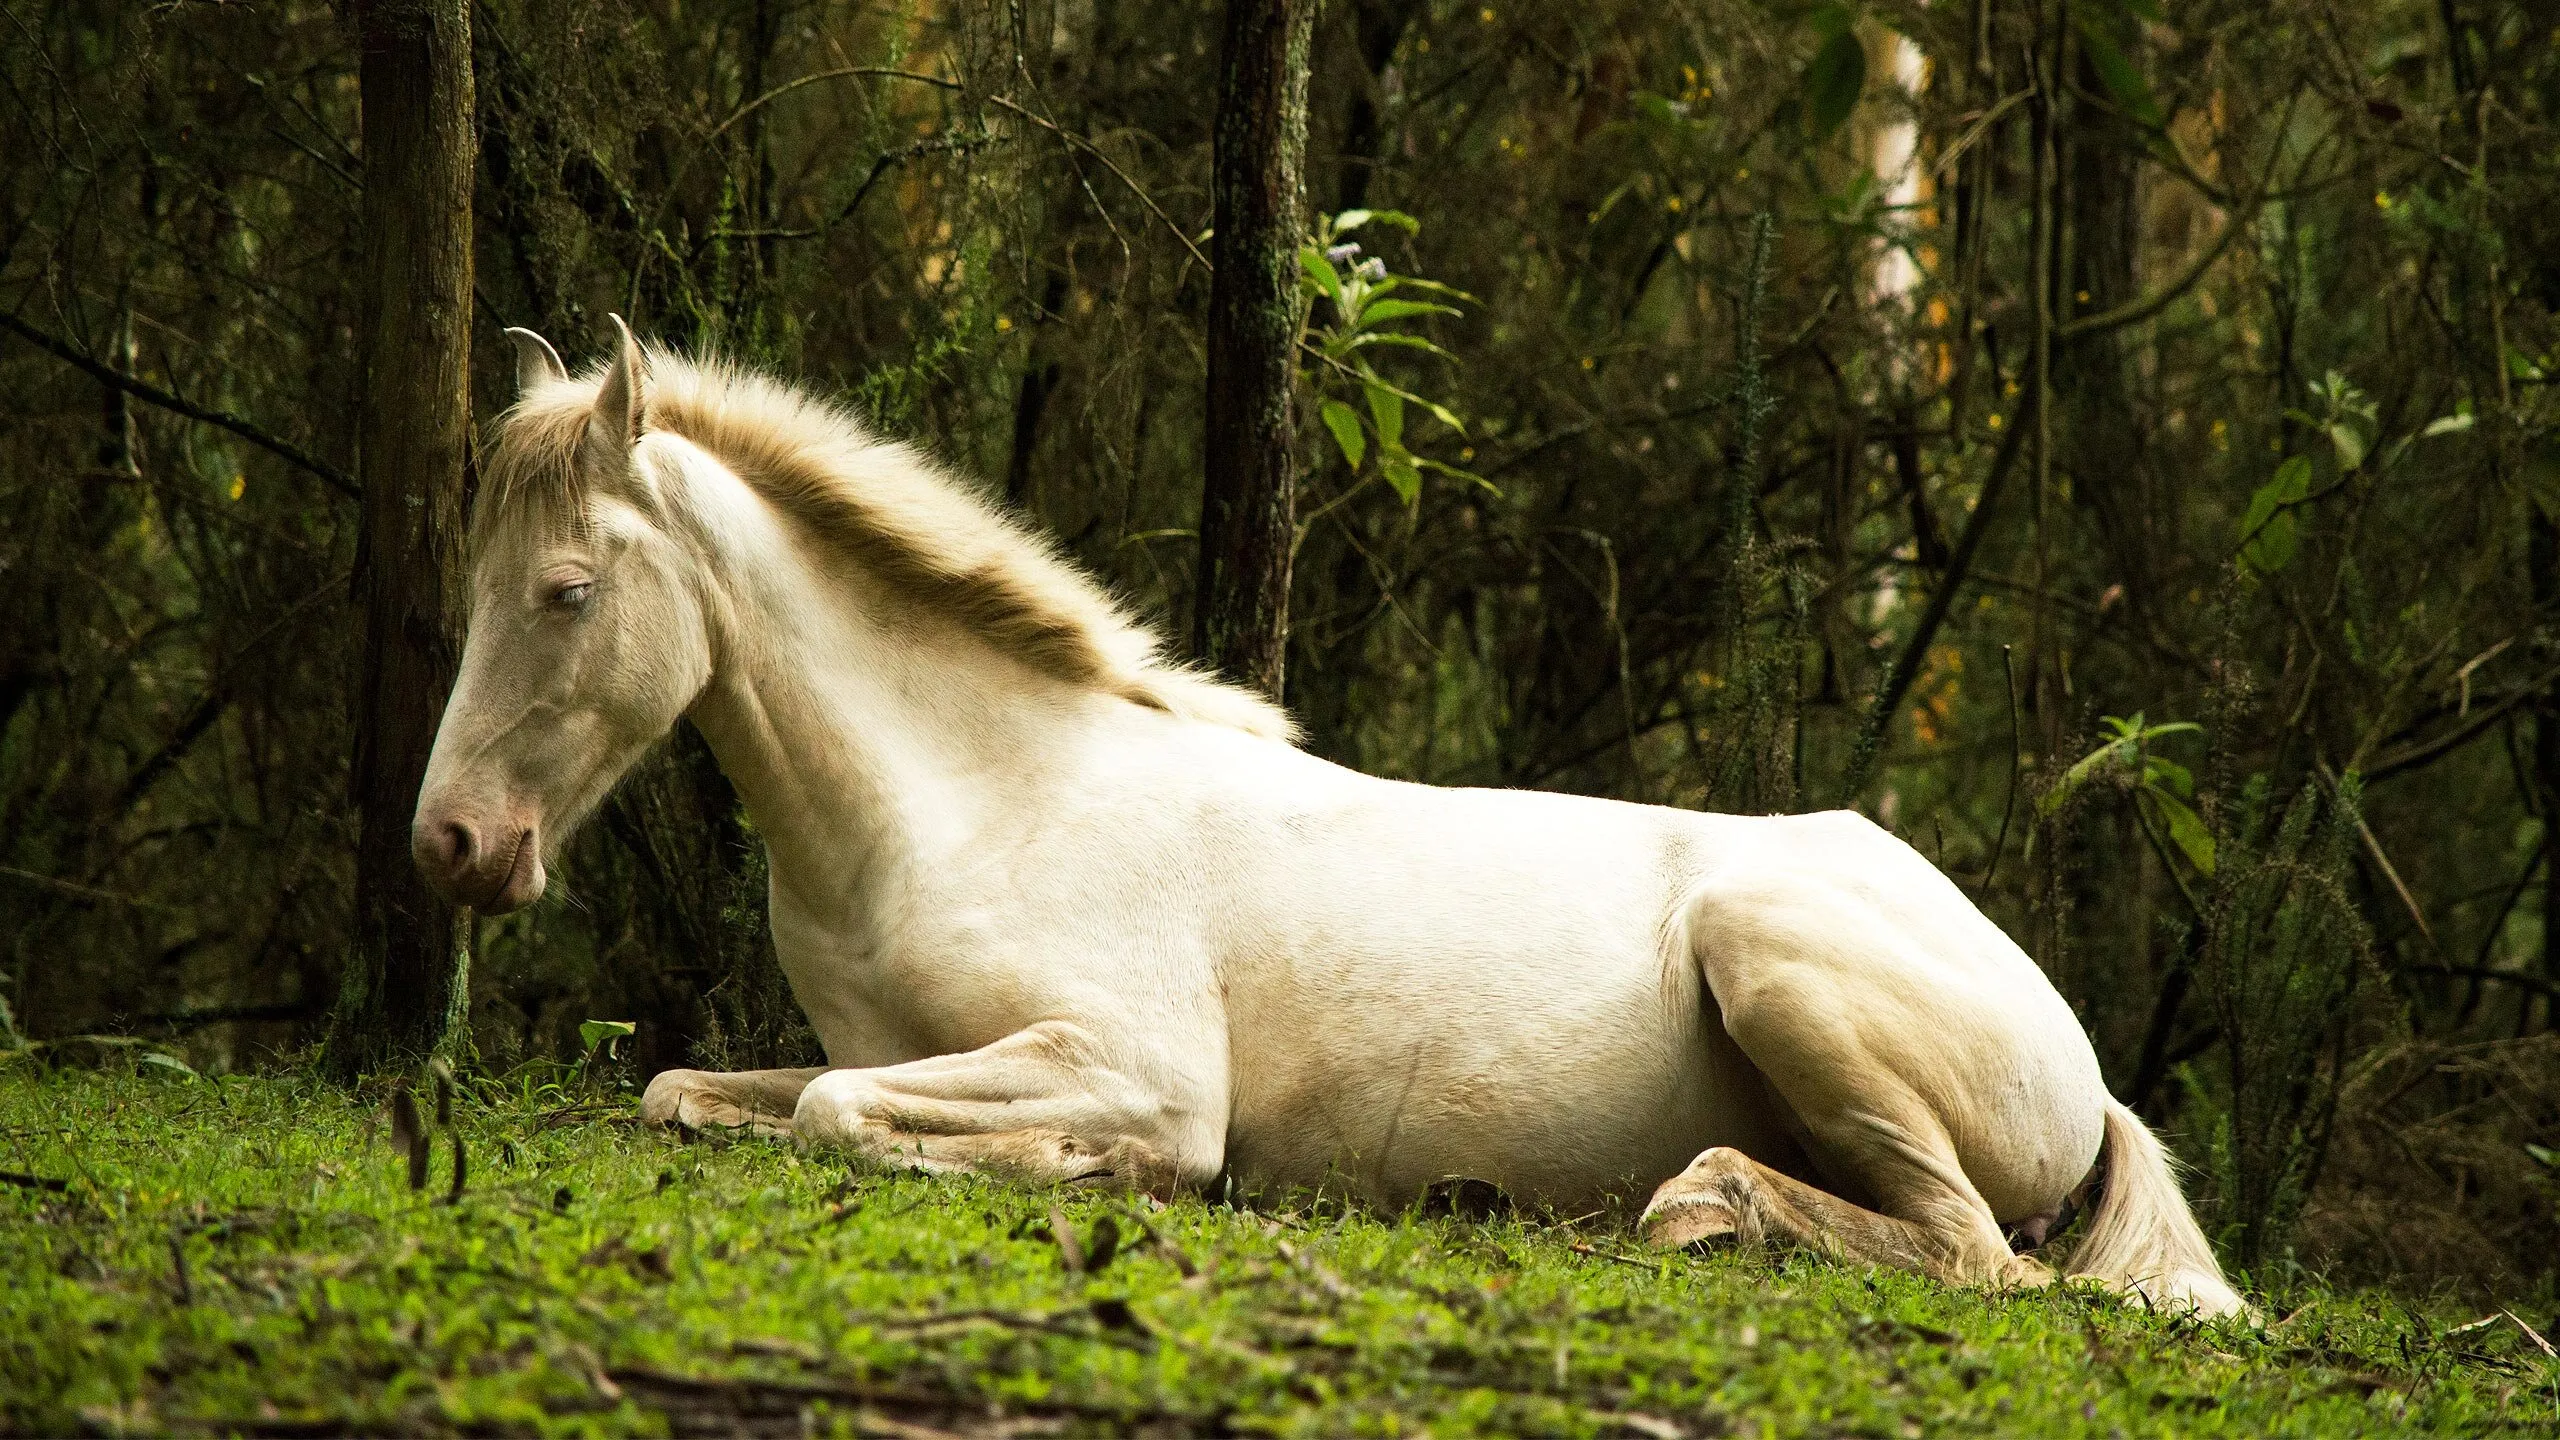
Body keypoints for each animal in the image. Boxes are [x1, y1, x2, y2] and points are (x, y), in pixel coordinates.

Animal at [412, 318, 2244, 1319]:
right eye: (478, 577)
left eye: (566, 590)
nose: (454, 848)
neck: (976, 803)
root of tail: (2082, 1062)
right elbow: (702, 1094)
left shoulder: (1130, 1061)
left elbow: (845, 1112)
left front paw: (1103, 1174)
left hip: (1775, 956)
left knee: (1971, 1255)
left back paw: (1701, 1208)